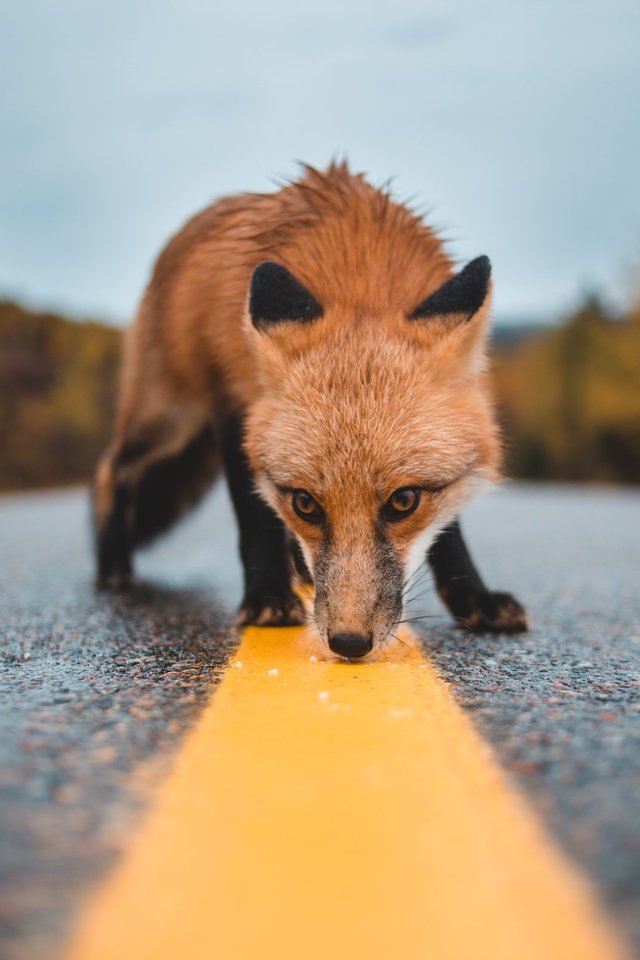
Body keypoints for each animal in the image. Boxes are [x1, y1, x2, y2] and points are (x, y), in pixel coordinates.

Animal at [94, 163, 524, 660]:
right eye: (305, 503)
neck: (359, 271)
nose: (349, 643)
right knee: (112, 468)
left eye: (404, 501)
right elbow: (255, 516)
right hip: (169, 419)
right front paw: (266, 597)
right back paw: (112, 563)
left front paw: (474, 598)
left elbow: (448, 532)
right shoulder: (234, 407)